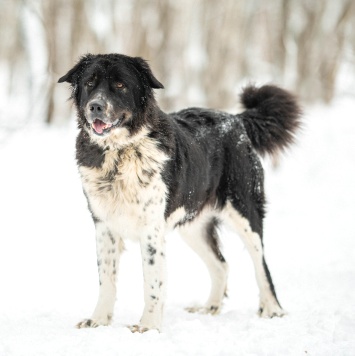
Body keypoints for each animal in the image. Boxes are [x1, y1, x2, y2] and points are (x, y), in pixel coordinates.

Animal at [57, 53, 300, 334]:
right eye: (89, 83)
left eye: (120, 85)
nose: (95, 106)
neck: (119, 154)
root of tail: (237, 120)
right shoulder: (103, 225)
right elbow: (106, 279)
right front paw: (98, 321)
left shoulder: (151, 229)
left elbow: (152, 281)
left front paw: (148, 326)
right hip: (193, 226)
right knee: (221, 265)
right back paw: (210, 308)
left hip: (244, 212)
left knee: (261, 266)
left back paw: (272, 309)